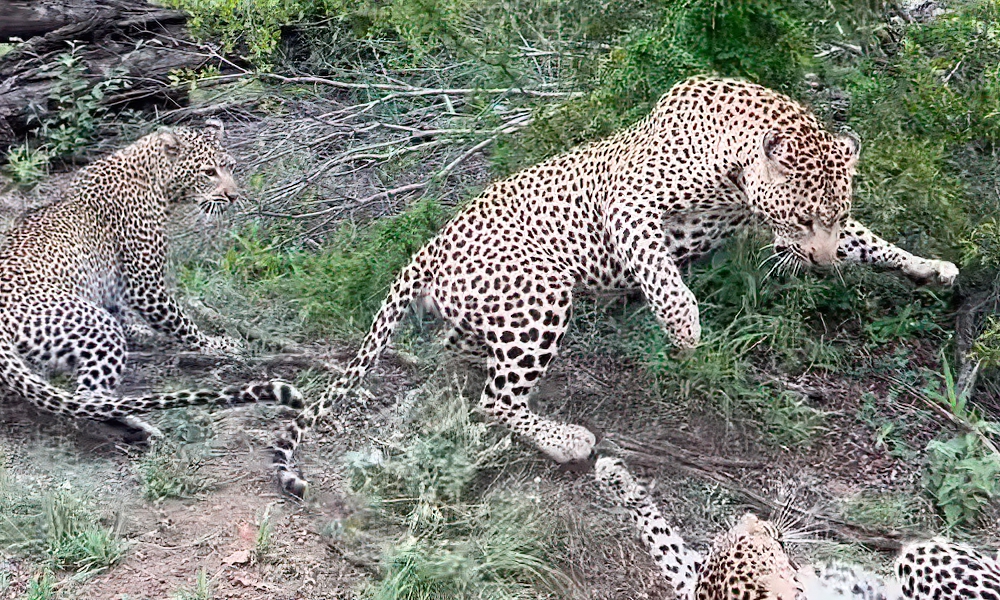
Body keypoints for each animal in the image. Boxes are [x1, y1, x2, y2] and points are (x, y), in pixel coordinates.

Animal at [0, 122, 304, 438]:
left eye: (230, 166)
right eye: (208, 172)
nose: (233, 196)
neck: (157, 182)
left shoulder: (116, 285)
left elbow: (123, 309)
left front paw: (141, 331)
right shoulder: (145, 285)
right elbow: (181, 321)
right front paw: (214, 344)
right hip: (96, 327)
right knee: (88, 398)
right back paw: (138, 424)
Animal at [274, 75, 960, 496]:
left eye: (835, 217)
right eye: (801, 217)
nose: (820, 264)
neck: (736, 172)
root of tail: (428, 247)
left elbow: (872, 243)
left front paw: (929, 266)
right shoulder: (627, 206)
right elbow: (660, 272)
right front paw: (685, 329)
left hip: (499, 309)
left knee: (459, 351)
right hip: (541, 292)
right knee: (495, 401)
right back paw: (567, 441)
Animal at [596, 454, 996, 600]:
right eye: (774, 552)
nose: (754, 518)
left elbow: (665, 542)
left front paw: (615, 477)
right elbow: (666, 547)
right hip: (923, 554)